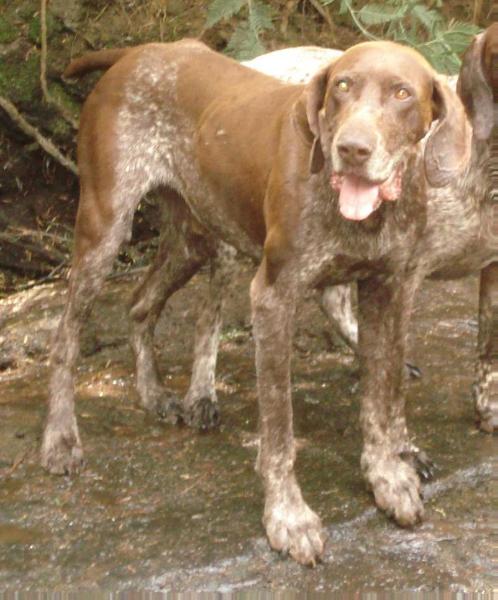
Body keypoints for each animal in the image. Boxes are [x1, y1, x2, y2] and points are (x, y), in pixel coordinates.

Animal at [43, 31, 498, 568]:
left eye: (403, 93)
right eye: (343, 86)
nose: (352, 149)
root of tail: (139, 52)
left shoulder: (387, 290)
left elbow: (381, 401)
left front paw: (386, 478)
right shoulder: (275, 300)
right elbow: (280, 433)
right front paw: (289, 518)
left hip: (191, 238)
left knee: (139, 304)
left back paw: (153, 394)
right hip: (108, 229)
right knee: (68, 339)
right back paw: (62, 438)